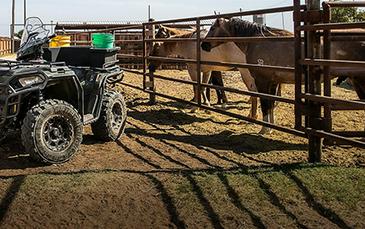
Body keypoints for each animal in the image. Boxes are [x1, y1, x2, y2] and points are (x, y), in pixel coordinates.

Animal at [200, 18, 364, 134]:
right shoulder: (273, 82)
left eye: (213, 28)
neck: (256, 41)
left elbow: (265, 104)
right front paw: (271, 126)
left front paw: (264, 129)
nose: (203, 45)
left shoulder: (263, 81)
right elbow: (271, 103)